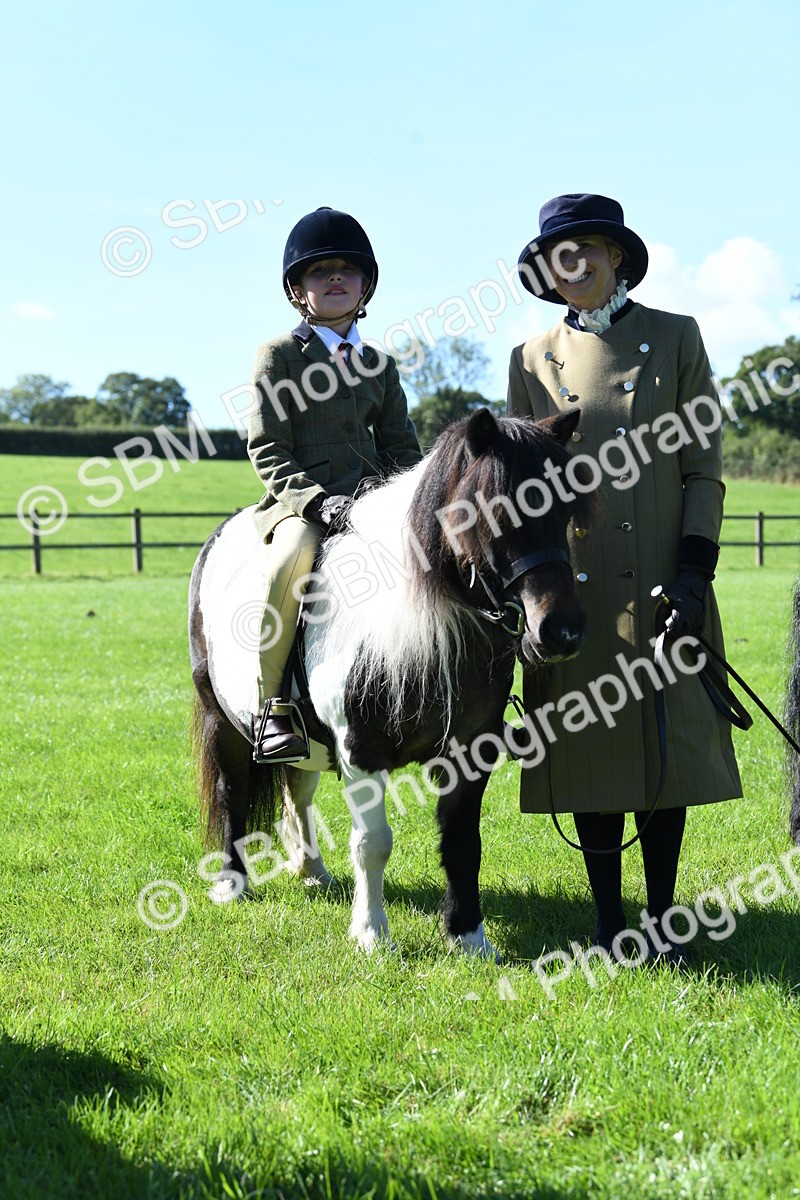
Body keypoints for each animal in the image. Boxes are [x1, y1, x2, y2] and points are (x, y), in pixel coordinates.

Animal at [188, 406, 590, 958]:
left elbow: (463, 843)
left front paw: (469, 936)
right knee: (232, 792)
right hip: (223, 719)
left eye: (567, 510)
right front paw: (372, 935)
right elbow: (372, 844)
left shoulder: (470, 749)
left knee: (298, 790)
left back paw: (312, 870)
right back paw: (233, 884)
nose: (562, 631)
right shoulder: (361, 751)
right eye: (495, 510)